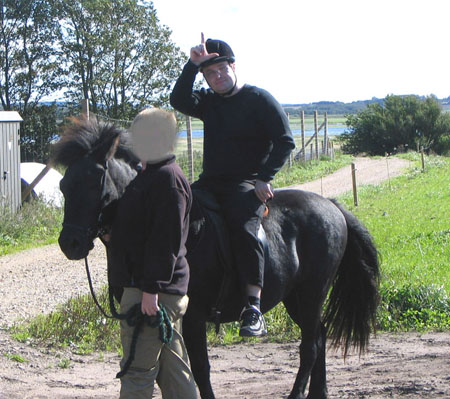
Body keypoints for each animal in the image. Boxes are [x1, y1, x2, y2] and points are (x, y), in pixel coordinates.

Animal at [52, 118, 380, 399]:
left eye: (95, 181)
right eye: (64, 186)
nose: (70, 243)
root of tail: (333, 207)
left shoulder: (193, 316)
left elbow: (199, 369)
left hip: (312, 293)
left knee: (310, 345)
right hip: (295, 297)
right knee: (320, 336)